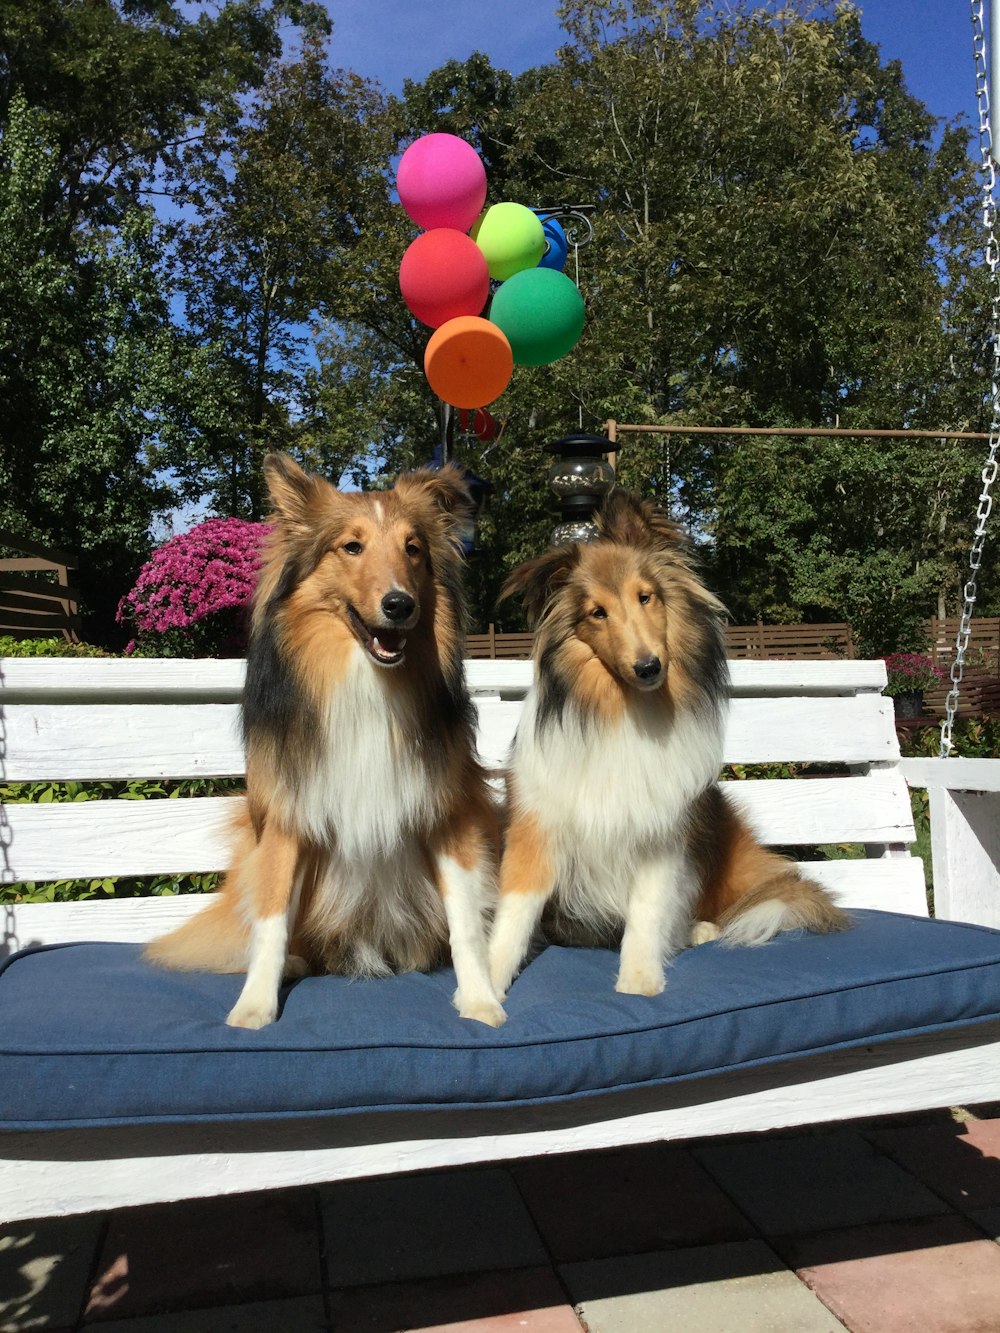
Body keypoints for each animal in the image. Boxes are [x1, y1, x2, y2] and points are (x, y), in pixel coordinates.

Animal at [146, 455, 509, 1029]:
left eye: (413, 548)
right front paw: (254, 1006)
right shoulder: (286, 821)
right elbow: (271, 922)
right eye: (351, 546)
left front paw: (478, 999)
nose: (400, 605)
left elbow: (465, 920)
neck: (367, 681)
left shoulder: (449, 813)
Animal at [490, 490, 848, 1002]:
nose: (648, 667)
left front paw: (639, 979)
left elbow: (648, 909)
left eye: (646, 596)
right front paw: (484, 985)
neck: (625, 712)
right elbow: (515, 914)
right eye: (597, 612)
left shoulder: (660, 835)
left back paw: (697, 929)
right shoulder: (536, 826)